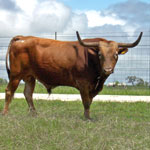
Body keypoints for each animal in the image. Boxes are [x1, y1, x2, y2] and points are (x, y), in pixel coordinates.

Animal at [2, 31, 142, 119]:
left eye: (116, 54)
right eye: (100, 54)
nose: (107, 69)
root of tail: (22, 38)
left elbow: (89, 101)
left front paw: (87, 116)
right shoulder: (83, 84)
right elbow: (86, 102)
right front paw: (87, 119)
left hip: (30, 77)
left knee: (28, 93)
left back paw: (34, 114)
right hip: (15, 75)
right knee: (9, 91)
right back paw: (5, 113)